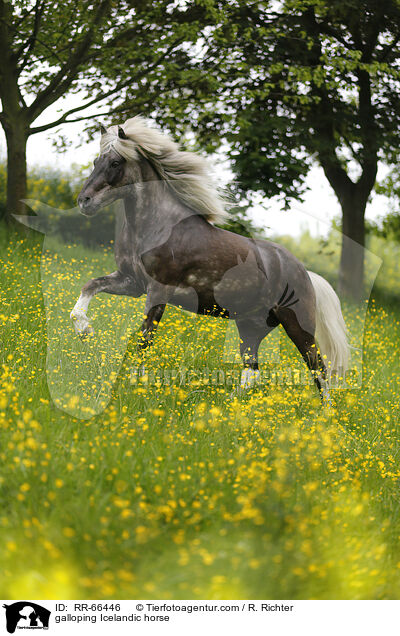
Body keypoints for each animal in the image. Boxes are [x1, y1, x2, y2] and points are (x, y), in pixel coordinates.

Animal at [72, 115, 350, 402]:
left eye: (116, 162)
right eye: (96, 161)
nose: (84, 201)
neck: (158, 226)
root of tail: (307, 274)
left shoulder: (158, 290)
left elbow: (144, 339)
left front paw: (135, 385)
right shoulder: (131, 282)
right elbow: (90, 286)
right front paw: (84, 330)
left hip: (298, 326)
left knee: (318, 368)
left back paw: (324, 412)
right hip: (250, 326)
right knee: (252, 370)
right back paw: (230, 405)